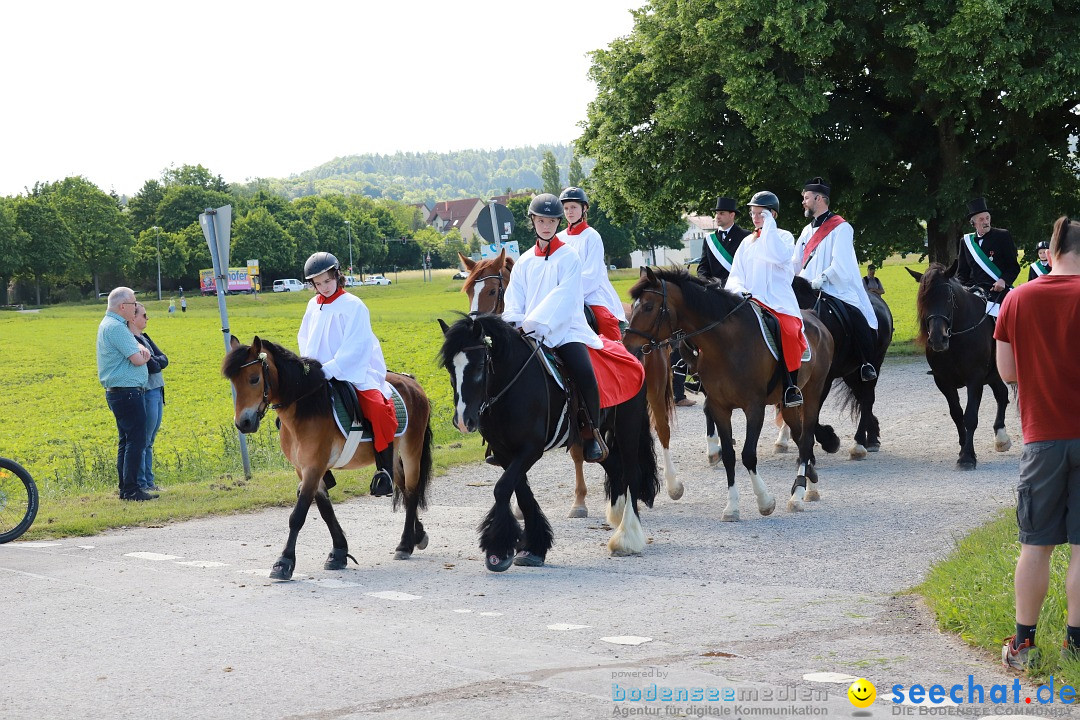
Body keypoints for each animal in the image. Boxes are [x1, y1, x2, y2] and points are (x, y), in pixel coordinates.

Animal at [223, 336, 434, 578]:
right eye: (233, 383)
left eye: (254, 379)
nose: (243, 423)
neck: (304, 406)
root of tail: (412, 382)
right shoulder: (304, 469)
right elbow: (325, 510)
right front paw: (339, 552)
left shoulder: (314, 467)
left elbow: (298, 515)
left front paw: (284, 561)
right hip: (393, 457)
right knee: (404, 488)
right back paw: (418, 535)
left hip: (411, 449)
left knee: (412, 490)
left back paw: (405, 544)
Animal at [436, 313, 656, 569]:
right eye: (449, 367)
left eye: (480, 365)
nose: (463, 420)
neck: (513, 386)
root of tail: (631, 354)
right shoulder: (505, 451)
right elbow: (521, 493)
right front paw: (533, 547)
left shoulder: (531, 449)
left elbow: (502, 488)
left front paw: (498, 550)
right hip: (595, 441)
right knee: (614, 467)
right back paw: (617, 517)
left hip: (627, 427)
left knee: (631, 474)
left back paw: (626, 537)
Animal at [460, 249, 678, 518]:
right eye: (469, 291)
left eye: (491, 291)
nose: (475, 328)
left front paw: (579, 502)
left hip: (654, 390)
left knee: (662, 430)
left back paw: (672, 487)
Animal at [626, 267, 833, 520]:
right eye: (633, 306)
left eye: (648, 307)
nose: (628, 347)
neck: (725, 345)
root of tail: (815, 318)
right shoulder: (719, 407)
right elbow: (728, 455)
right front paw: (732, 506)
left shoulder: (754, 407)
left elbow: (748, 454)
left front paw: (764, 501)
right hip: (787, 404)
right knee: (800, 435)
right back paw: (809, 483)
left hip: (812, 393)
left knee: (806, 439)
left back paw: (799, 494)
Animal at [911, 263, 1010, 468]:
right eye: (923, 299)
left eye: (948, 297)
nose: (937, 339)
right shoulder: (943, 381)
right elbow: (956, 414)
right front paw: (964, 448)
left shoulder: (975, 379)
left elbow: (970, 416)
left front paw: (967, 457)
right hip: (993, 375)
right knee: (1002, 394)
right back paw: (1001, 437)